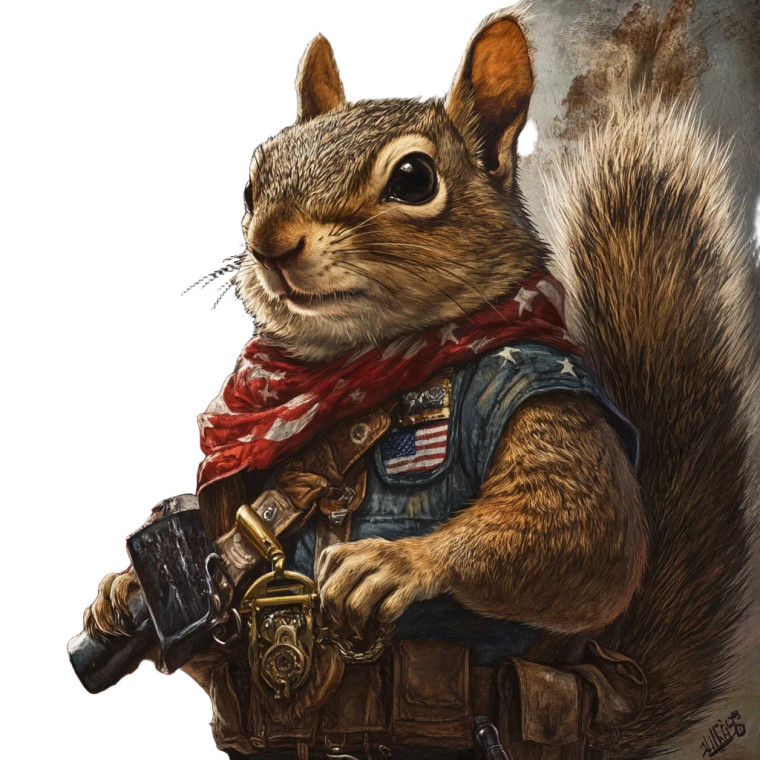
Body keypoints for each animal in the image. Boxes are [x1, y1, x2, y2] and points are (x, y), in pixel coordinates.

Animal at [83, 8, 757, 758]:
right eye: (251, 184)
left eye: (413, 178)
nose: (268, 243)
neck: (349, 368)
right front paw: (120, 591)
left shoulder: (537, 381)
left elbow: (592, 534)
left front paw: (394, 564)